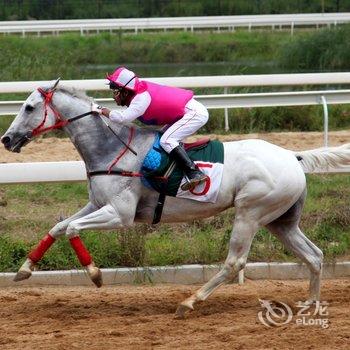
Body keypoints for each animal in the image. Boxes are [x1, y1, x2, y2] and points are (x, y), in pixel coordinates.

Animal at [2, 80, 350, 318]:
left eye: (29, 107)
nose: (7, 139)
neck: (112, 148)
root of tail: (293, 157)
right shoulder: (98, 205)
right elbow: (58, 227)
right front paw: (25, 269)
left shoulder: (120, 214)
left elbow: (73, 229)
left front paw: (96, 275)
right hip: (281, 220)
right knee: (314, 255)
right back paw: (311, 303)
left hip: (251, 213)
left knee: (235, 261)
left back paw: (190, 301)